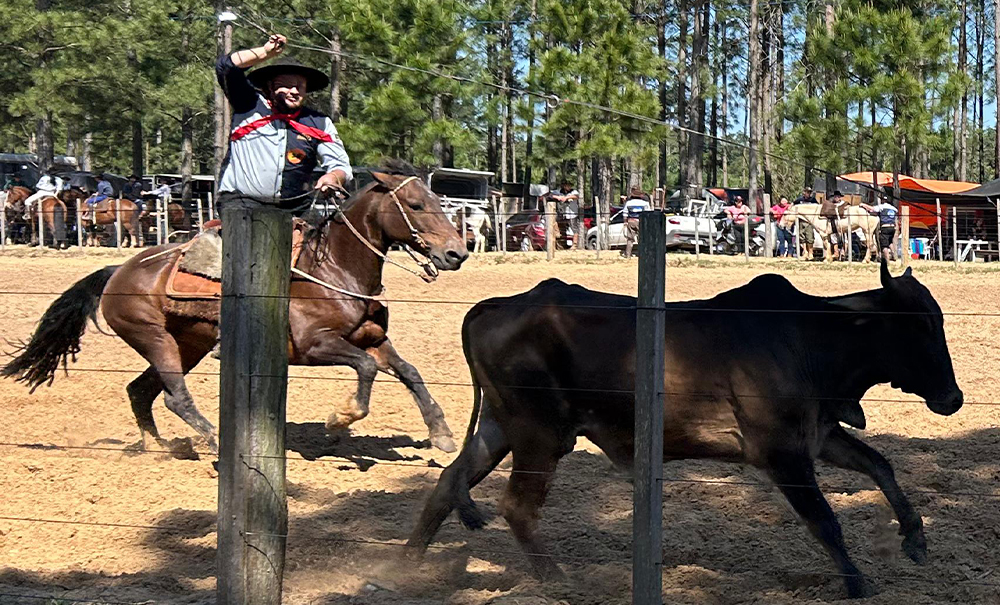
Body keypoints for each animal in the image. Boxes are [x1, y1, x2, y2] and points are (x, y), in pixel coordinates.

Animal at [1, 163, 470, 456]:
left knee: (140, 392)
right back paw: (210, 440)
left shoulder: (373, 339)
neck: (336, 268)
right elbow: (367, 370)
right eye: (416, 205)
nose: (457, 253)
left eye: (438, 201)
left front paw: (442, 434)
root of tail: (119, 269)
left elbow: (409, 371)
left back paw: (160, 447)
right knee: (175, 398)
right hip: (154, 339)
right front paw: (341, 418)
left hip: (186, 345)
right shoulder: (315, 346)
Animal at [410, 262, 964, 596]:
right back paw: (560, 583)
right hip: (539, 434)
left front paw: (915, 538)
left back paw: (406, 563)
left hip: (501, 427)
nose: (954, 398)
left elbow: (880, 466)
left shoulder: (819, 435)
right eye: (920, 325)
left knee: (449, 481)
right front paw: (855, 582)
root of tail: (499, 304)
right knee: (517, 507)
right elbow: (824, 520)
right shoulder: (782, 452)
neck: (809, 336)